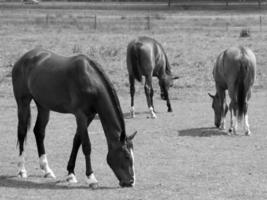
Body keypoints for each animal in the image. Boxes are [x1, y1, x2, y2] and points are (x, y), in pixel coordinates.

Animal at [12, 47, 138, 188]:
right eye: (126, 156)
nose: (130, 182)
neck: (91, 81)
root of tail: (23, 58)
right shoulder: (80, 115)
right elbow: (86, 145)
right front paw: (91, 178)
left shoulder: (89, 116)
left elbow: (77, 141)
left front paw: (71, 174)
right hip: (23, 102)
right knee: (22, 132)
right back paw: (22, 170)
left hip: (43, 106)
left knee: (39, 132)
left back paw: (47, 170)